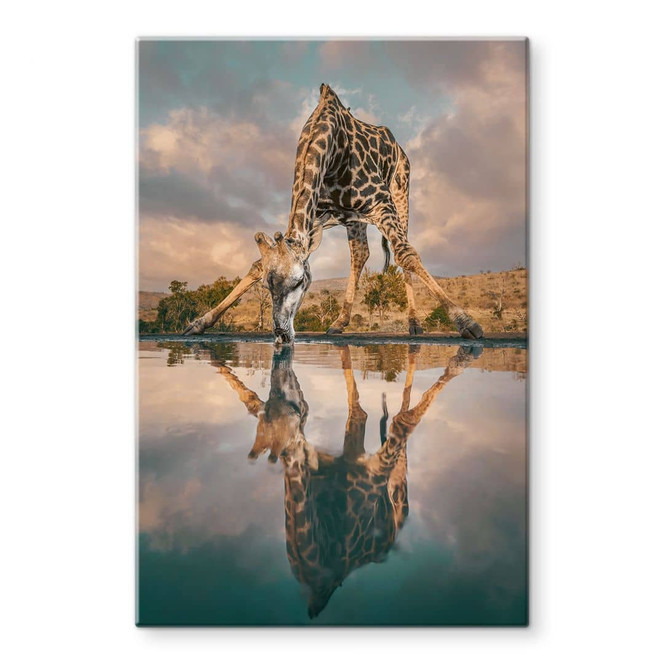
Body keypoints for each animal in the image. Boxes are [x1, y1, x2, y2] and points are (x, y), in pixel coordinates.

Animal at [184, 84, 483, 343]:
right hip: (354, 219)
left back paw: (413, 323)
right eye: (268, 288)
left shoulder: (381, 202)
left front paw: (467, 323)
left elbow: (406, 254)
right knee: (360, 254)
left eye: (299, 282)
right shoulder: (315, 219)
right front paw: (199, 323)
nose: (281, 334)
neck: (332, 151)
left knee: (401, 250)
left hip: (400, 193)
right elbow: (257, 265)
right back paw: (339, 322)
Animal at [215, 343, 480, 617]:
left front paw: (458, 361)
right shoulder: (350, 454)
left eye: (294, 407)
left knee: (401, 427)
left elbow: (400, 421)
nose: (282, 375)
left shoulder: (372, 470)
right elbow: (361, 406)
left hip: (398, 485)